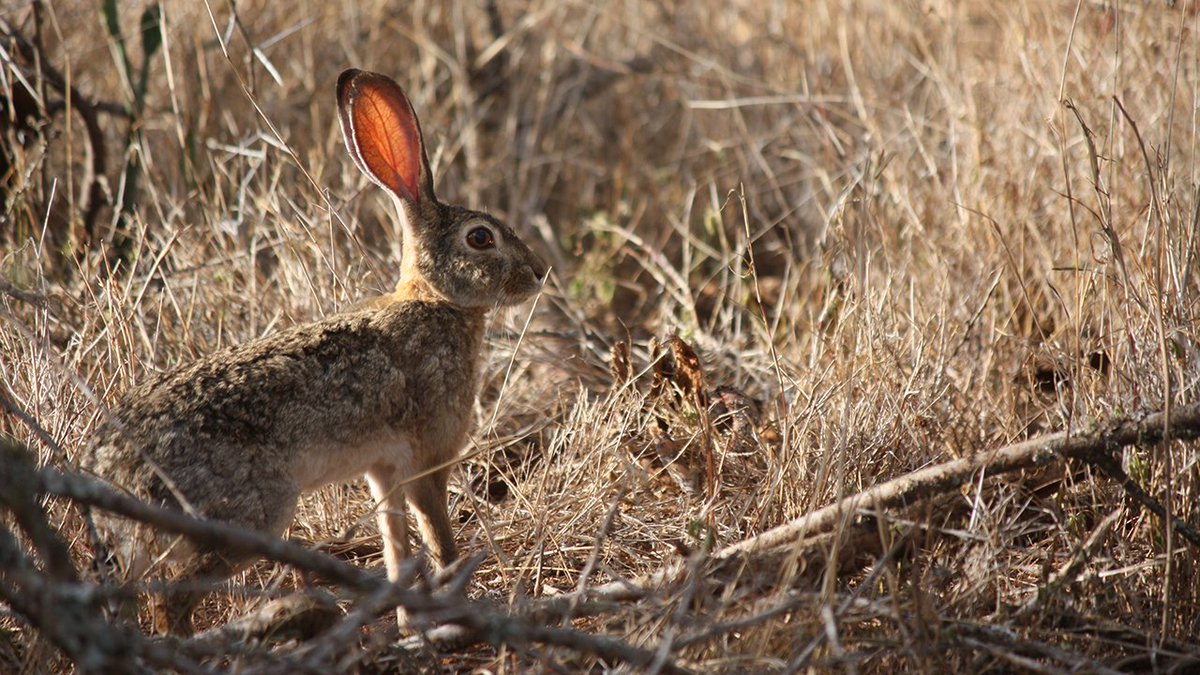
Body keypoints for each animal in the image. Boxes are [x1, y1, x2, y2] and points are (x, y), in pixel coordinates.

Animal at [83, 68, 547, 636]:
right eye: (481, 238)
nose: (539, 272)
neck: (436, 300)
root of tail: (111, 471)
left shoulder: (383, 470)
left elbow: (397, 550)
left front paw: (408, 627)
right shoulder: (427, 460)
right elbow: (439, 541)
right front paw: (458, 616)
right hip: (247, 516)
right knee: (170, 601)